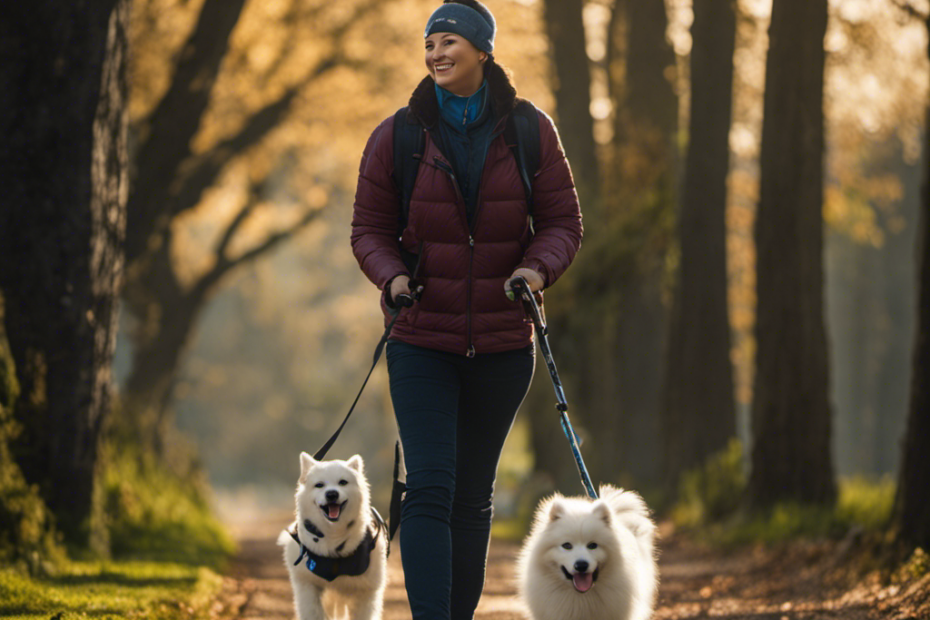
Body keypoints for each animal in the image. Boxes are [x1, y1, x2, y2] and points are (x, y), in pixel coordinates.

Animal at [278, 450, 390, 620]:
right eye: (319, 485)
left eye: (343, 482)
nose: (331, 494)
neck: (333, 534)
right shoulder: (308, 586)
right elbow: (313, 612)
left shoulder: (366, 591)